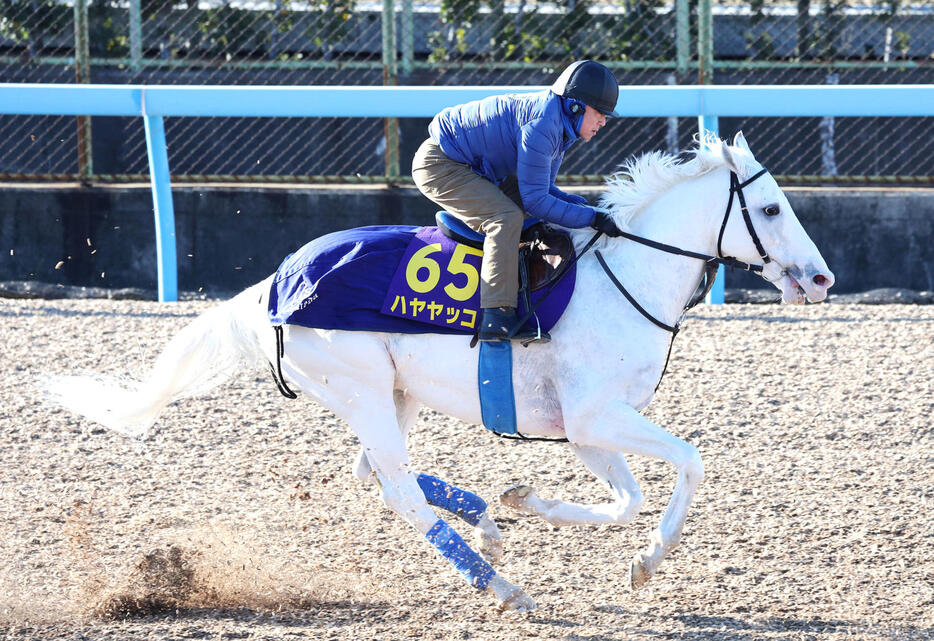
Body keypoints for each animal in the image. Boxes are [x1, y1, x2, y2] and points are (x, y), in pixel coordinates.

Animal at [45, 131, 832, 608]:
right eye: (770, 208)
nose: (822, 279)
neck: (625, 276)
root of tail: (278, 282)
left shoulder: (582, 428)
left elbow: (626, 499)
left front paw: (529, 501)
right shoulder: (593, 415)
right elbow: (688, 463)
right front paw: (651, 557)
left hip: (393, 392)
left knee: (370, 469)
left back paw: (485, 518)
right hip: (360, 385)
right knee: (394, 487)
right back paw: (500, 585)